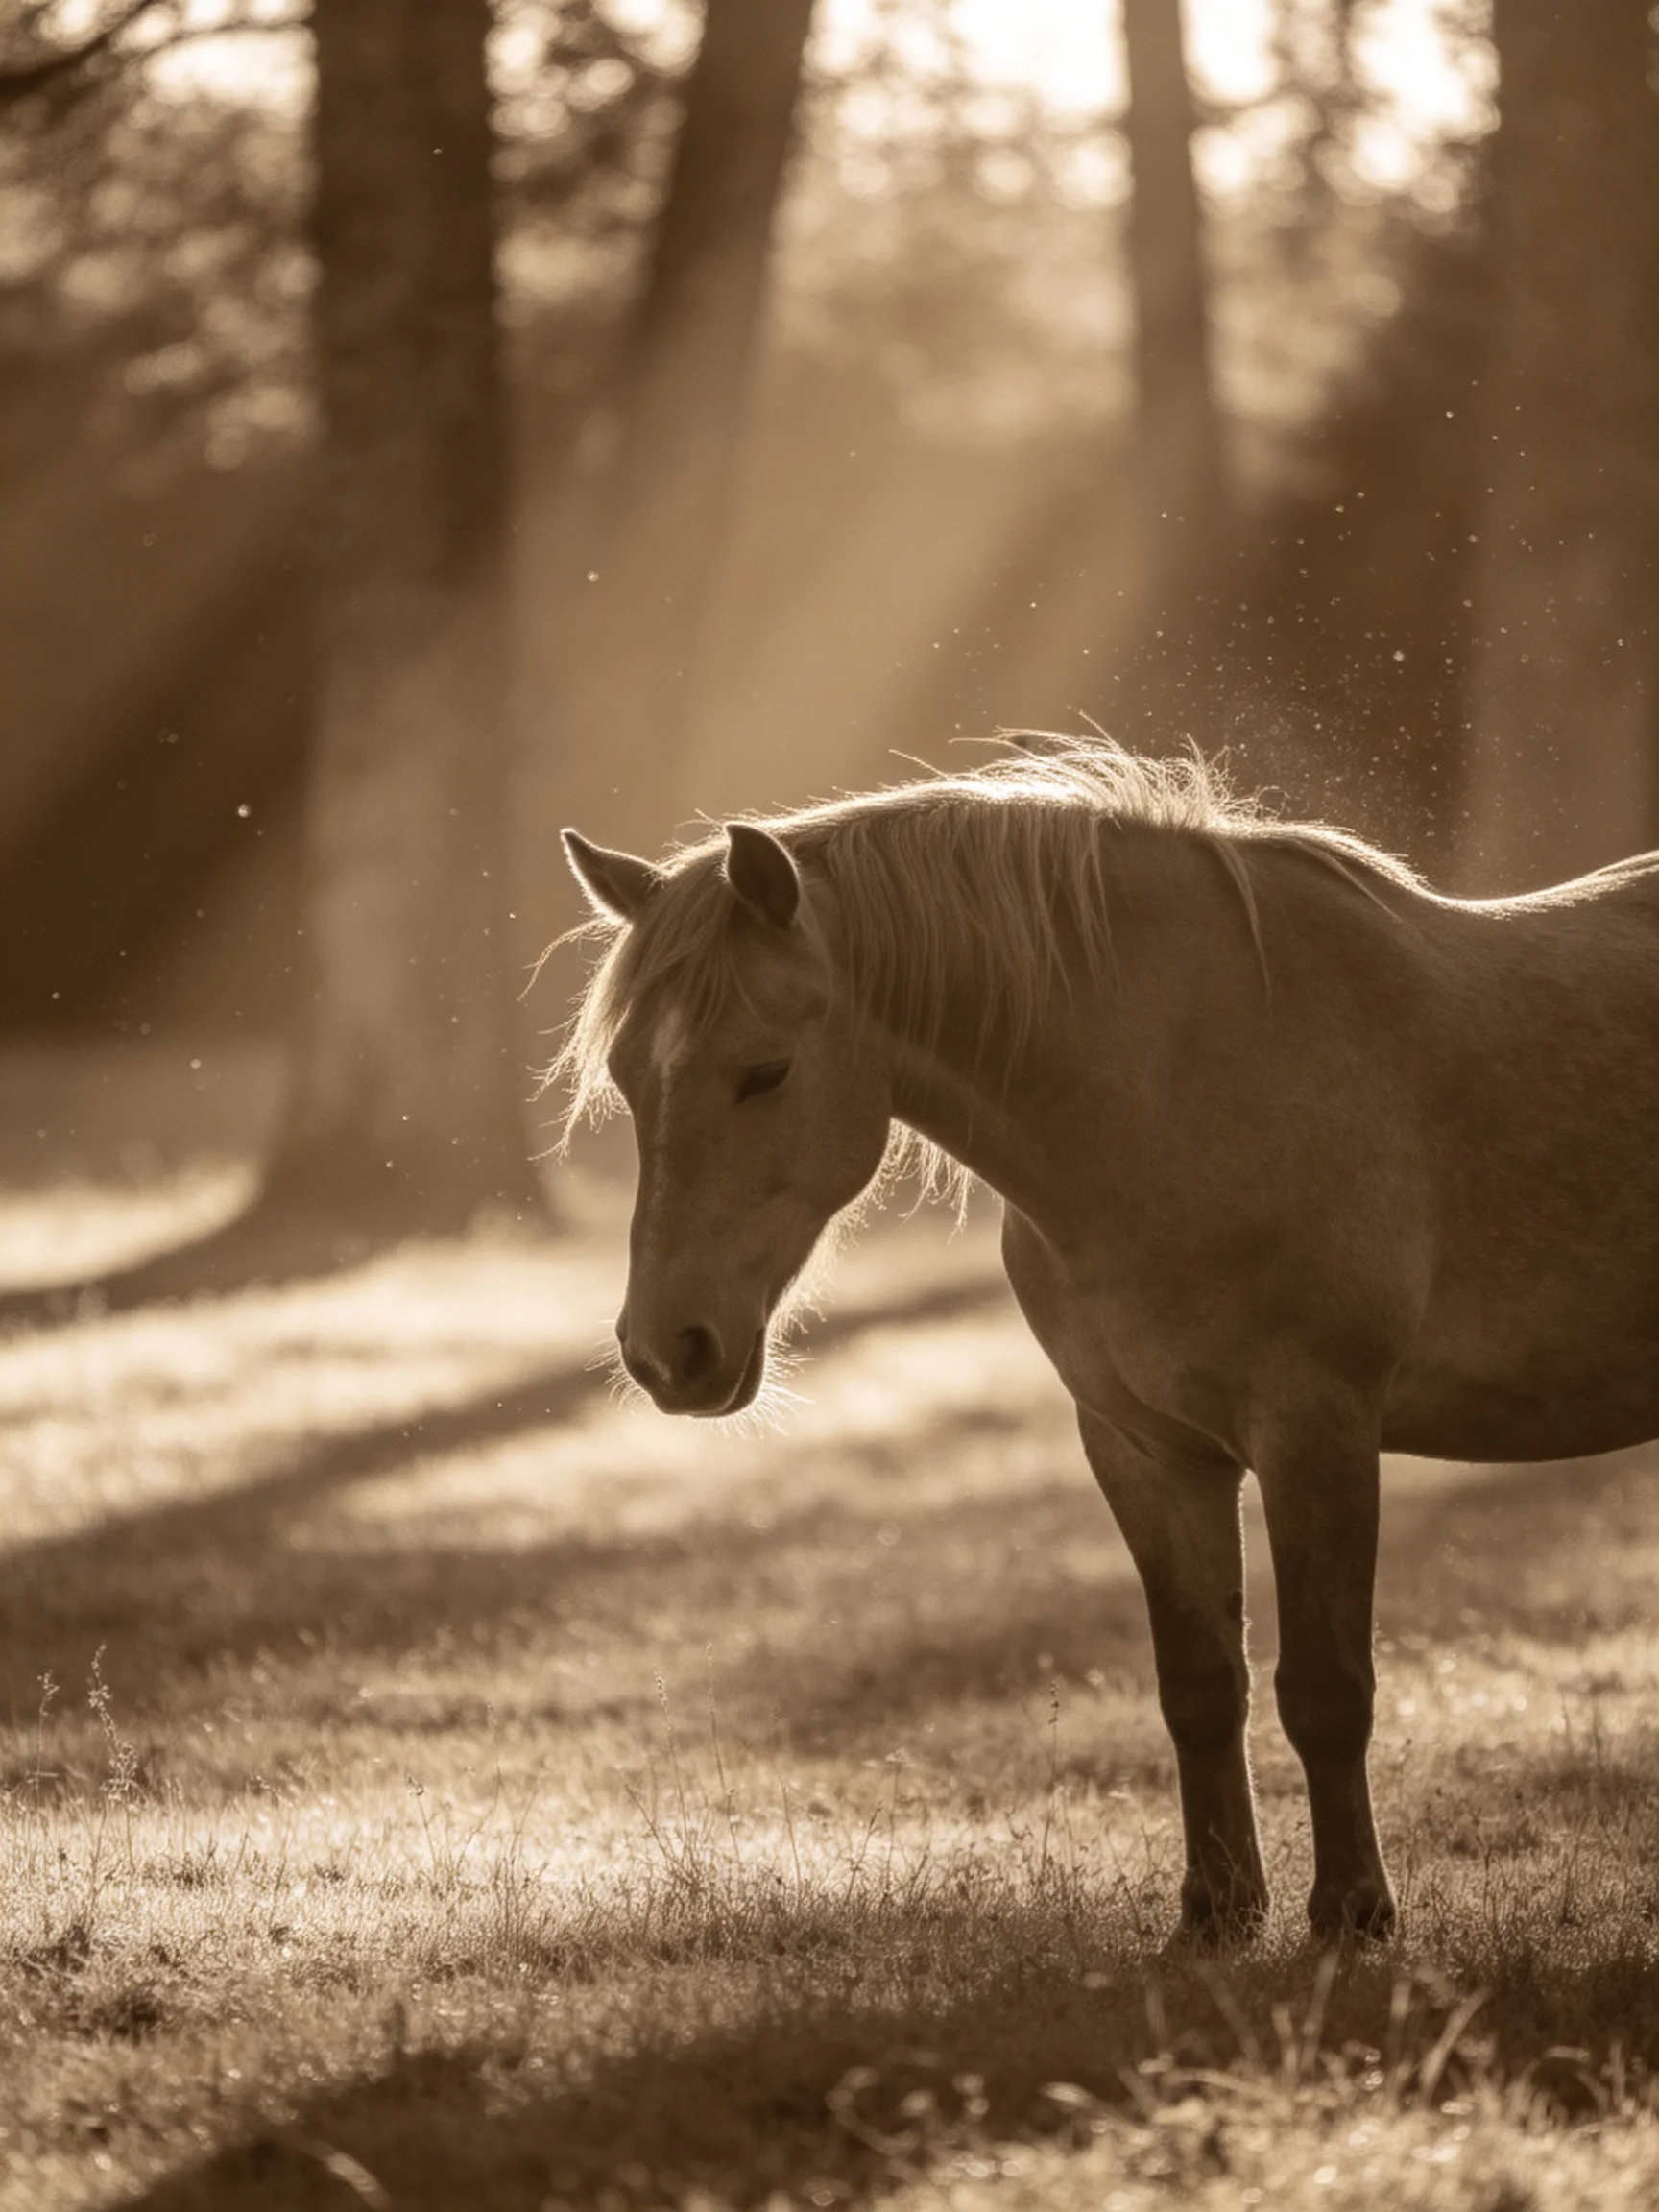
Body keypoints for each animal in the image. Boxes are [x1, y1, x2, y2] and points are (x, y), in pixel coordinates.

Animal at [554, 741, 1659, 1944]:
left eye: (765, 1072)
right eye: (628, 1076)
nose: (668, 1349)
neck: (1181, 1086)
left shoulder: (1315, 1432)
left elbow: (1325, 1690)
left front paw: (1351, 1917)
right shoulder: (1146, 1448)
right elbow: (1200, 1686)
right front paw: (1217, 1916)